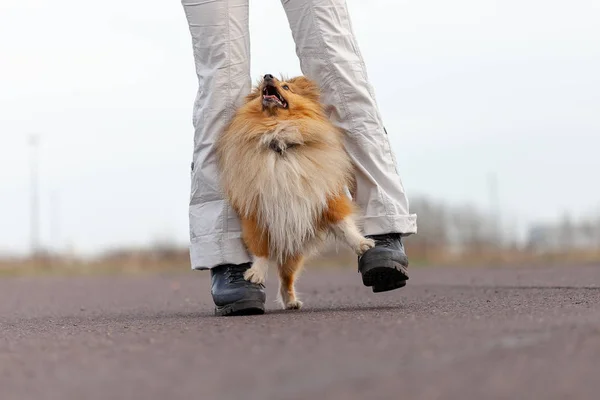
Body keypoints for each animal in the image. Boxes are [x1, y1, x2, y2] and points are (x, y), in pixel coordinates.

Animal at [216, 72, 376, 310]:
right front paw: (255, 273)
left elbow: (344, 224)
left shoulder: (326, 197)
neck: (280, 142)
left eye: (286, 87)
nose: (267, 75)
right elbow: (259, 248)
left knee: (287, 277)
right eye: (263, 87)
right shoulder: (255, 211)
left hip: (294, 250)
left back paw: (291, 301)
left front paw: (362, 243)